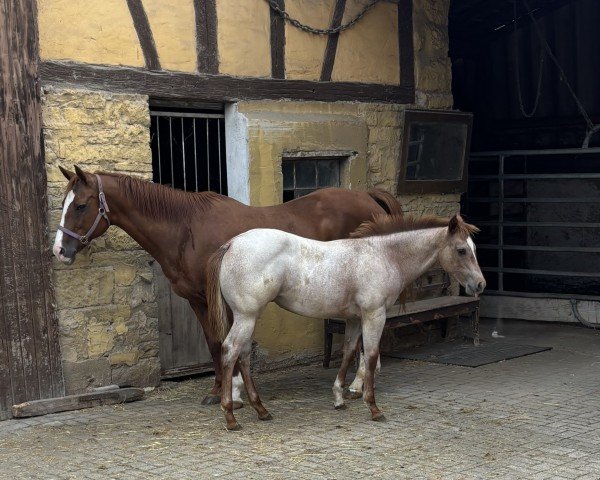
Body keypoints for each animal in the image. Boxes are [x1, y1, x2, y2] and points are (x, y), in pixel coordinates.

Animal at [54, 165, 400, 404]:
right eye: (63, 204)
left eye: (80, 205)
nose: (59, 250)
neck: (186, 229)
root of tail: (367, 196)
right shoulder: (198, 300)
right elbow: (213, 343)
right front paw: (218, 389)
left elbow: (228, 343)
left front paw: (233, 391)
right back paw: (357, 382)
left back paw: (357, 383)